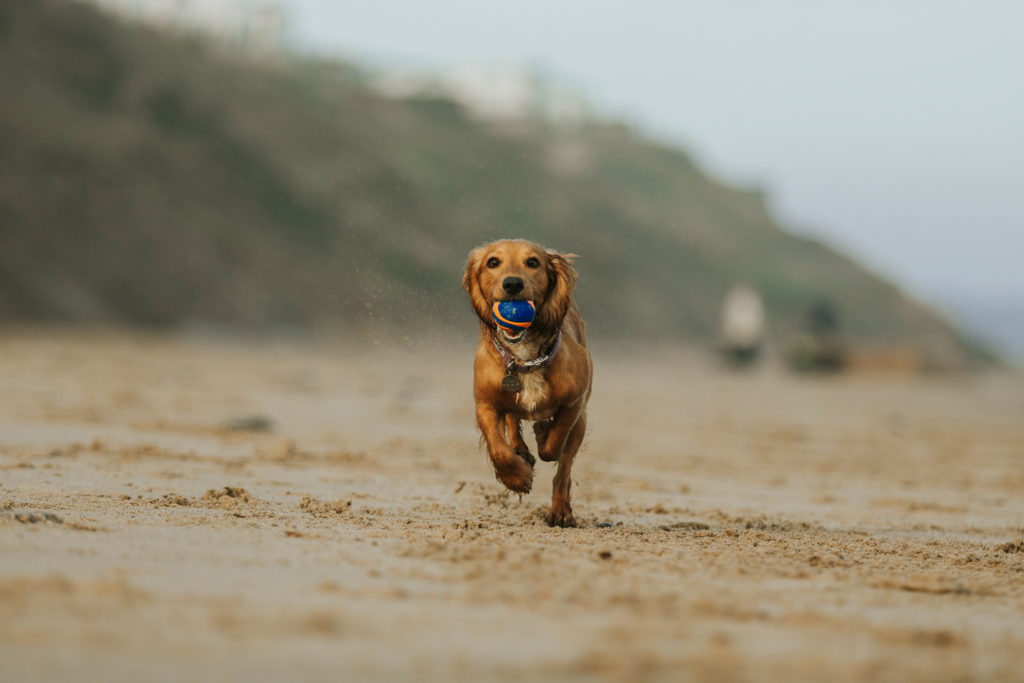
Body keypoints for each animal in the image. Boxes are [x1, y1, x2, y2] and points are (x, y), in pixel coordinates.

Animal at [462, 237, 598, 528]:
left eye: (533, 262)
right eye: (493, 262)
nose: (513, 284)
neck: (525, 359)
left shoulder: (574, 404)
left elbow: (555, 445)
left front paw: (544, 434)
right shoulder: (485, 403)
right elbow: (498, 449)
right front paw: (517, 478)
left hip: (581, 419)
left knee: (564, 468)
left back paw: (560, 511)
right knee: (512, 422)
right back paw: (521, 451)